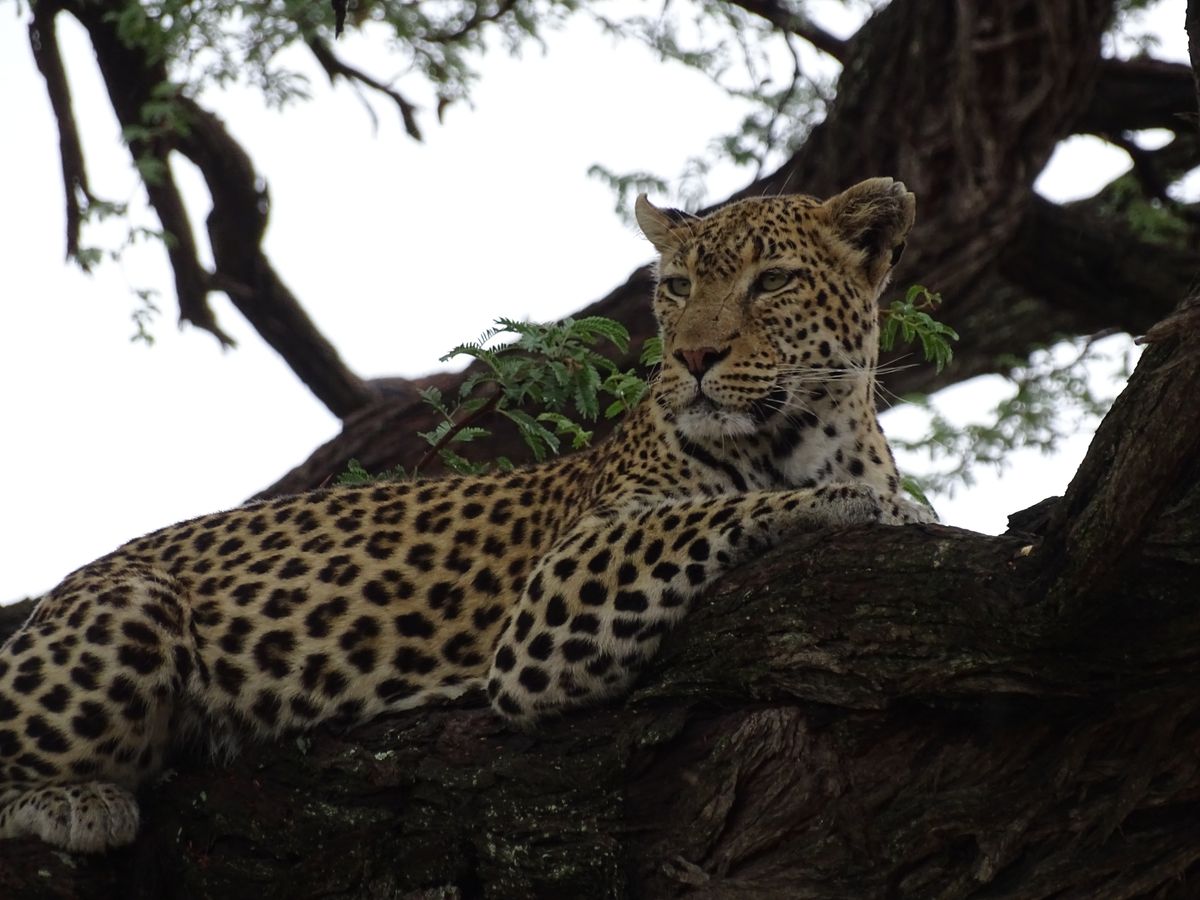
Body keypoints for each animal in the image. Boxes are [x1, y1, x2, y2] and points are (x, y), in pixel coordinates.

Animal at [0, 177, 935, 853]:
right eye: (677, 287)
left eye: (771, 282)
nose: (694, 357)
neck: (811, 432)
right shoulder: (560, 590)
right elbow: (717, 510)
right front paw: (861, 504)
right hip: (135, 606)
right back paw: (74, 802)